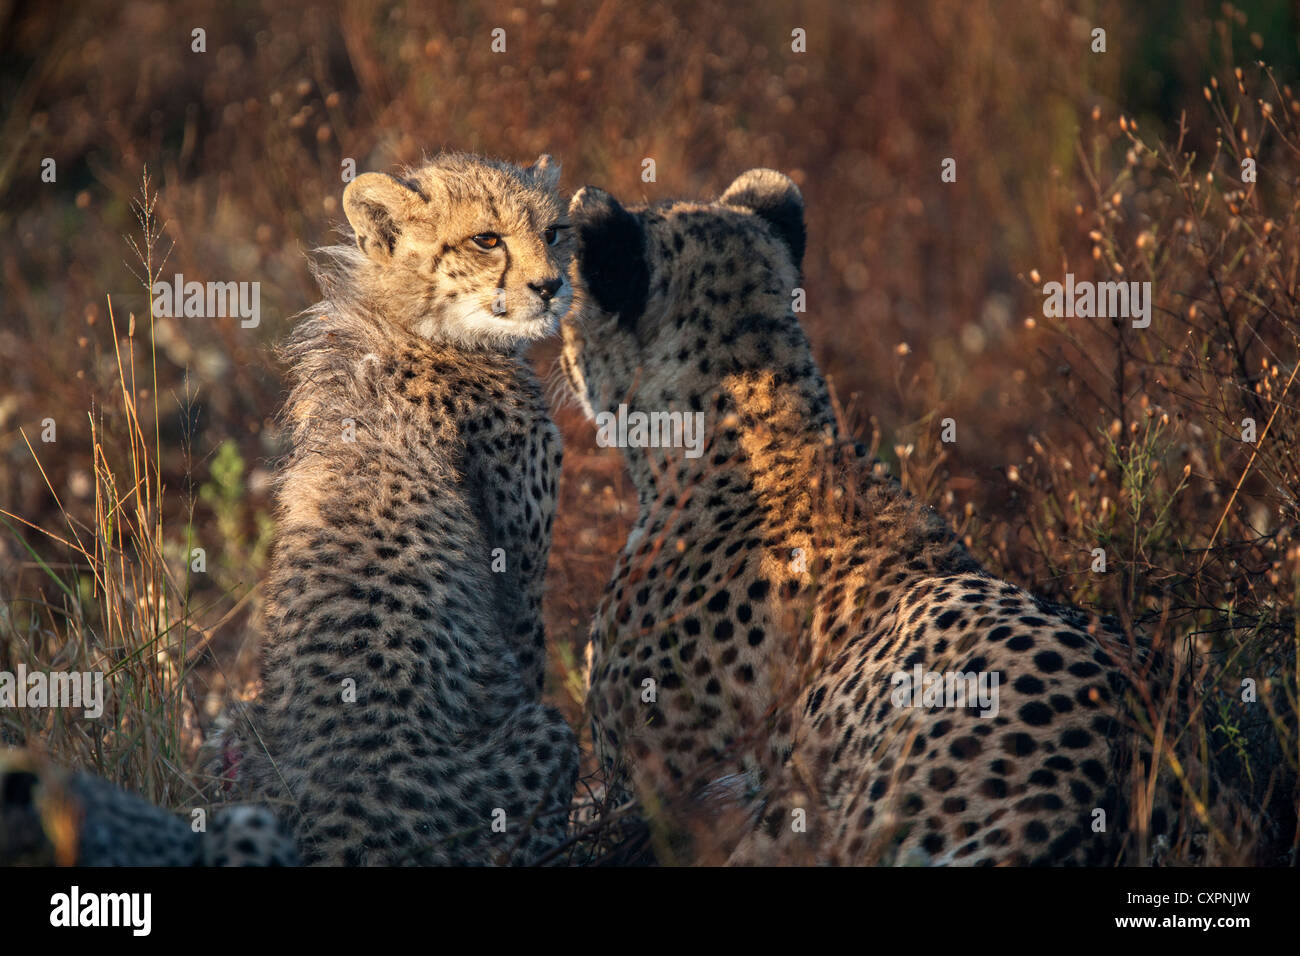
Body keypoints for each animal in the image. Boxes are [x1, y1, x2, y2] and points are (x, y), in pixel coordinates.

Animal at [215, 151, 577, 868]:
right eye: (486, 239)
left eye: (554, 233)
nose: (551, 287)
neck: (419, 324)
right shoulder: (519, 584)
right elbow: (527, 657)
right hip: (547, 741)